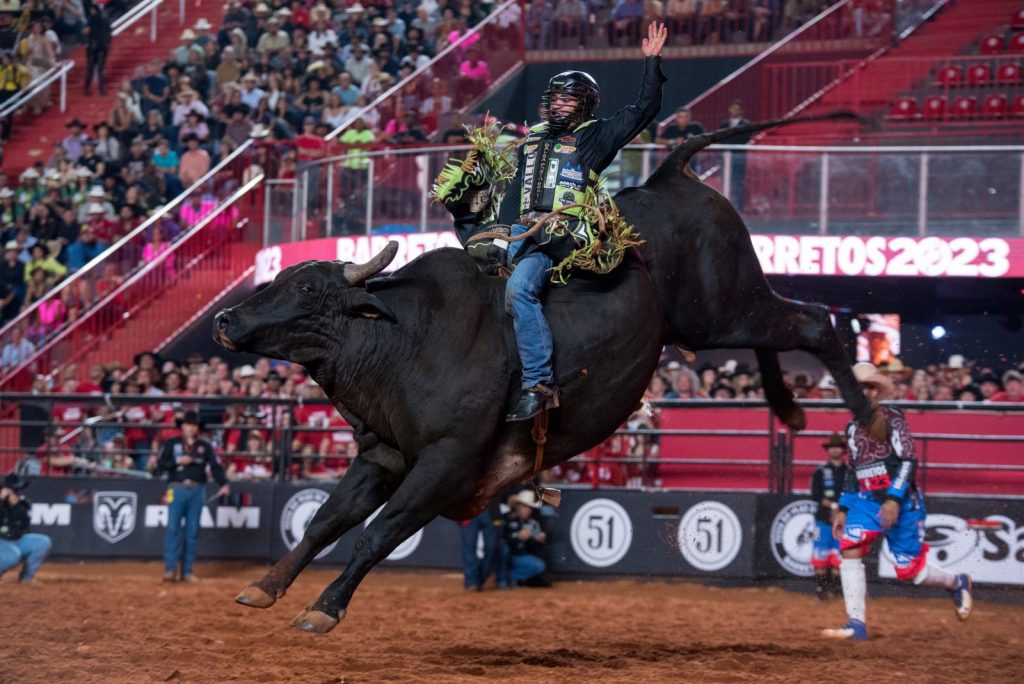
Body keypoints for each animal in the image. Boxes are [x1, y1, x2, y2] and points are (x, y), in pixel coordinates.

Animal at [214, 113, 880, 634]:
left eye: (306, 289)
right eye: (277, 279)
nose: (224, 318)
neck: (405, 339)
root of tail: (669, 175)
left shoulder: (447, 463)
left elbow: (377, 534)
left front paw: (323, 609)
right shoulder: (383, 455)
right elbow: (325, 521)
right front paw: (265, 586)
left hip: (721, 308)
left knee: (815, 321)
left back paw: (867, 414)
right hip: (721, 315)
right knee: (787, 326)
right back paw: (789, 406)